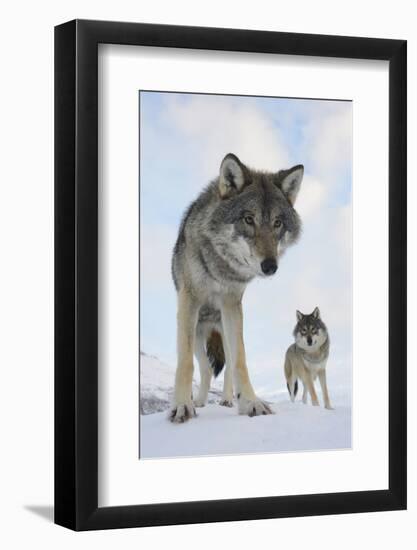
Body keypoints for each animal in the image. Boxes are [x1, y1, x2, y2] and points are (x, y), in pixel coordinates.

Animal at [169, 153, 302, 424]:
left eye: (277, 223)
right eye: (249, 219)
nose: (270, 266)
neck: (219, 266)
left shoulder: (232, 304)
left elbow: (240, 361)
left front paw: (250, 403)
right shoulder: (189, 302)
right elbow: (185, 362)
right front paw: (182, 405)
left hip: (224, 330)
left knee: (228, 365)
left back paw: (228, 400)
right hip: (198, 333)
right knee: (206, 368)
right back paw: (199, 401)